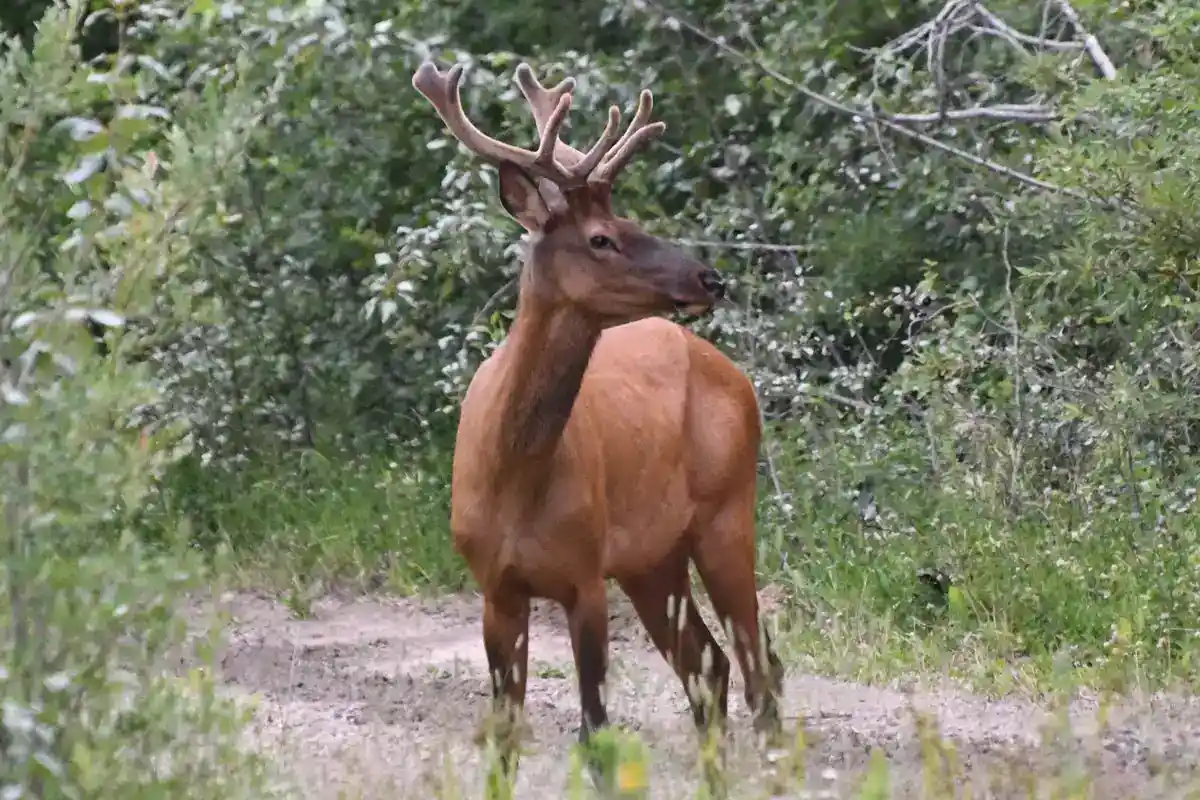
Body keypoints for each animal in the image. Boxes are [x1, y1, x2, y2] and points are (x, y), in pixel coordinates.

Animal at [410, 59, 785, 777]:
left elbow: (596, 733)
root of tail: (735, 376)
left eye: (630, 218)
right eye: (602, 238)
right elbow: (505, 733)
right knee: (711, 665)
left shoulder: (584, 574)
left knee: (759, 666)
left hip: (728, 514)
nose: (711, 279)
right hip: (651, 559)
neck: (515, 477)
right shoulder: (495, 586)